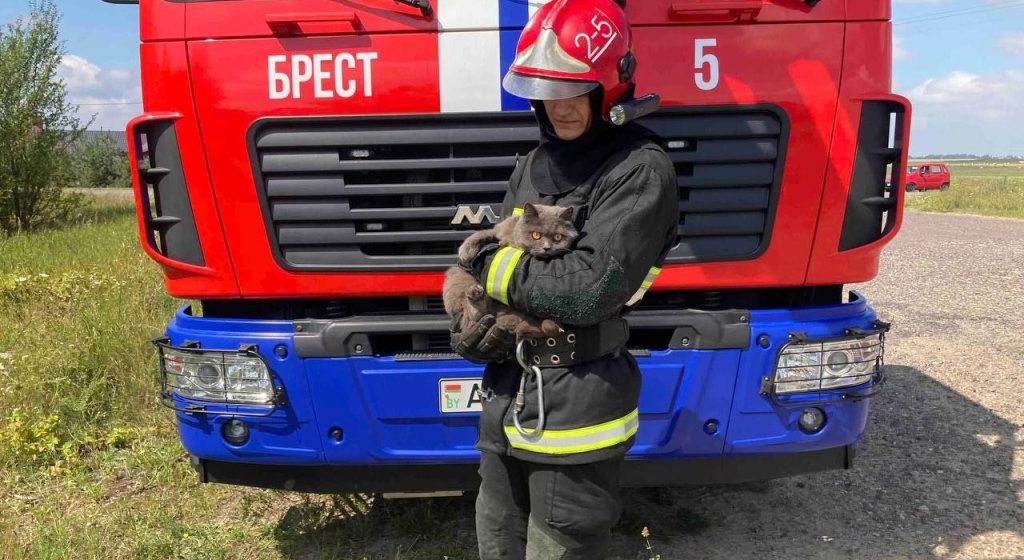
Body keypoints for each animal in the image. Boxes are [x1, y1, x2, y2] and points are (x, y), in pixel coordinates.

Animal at [444, 202, 581, 339]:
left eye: (558, 237)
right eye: (536, 235)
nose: (546, 248)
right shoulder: (499, 229)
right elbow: (484, 233)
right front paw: (466, 252)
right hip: (457, 276)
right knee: (472, 319)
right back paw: (475, 295)